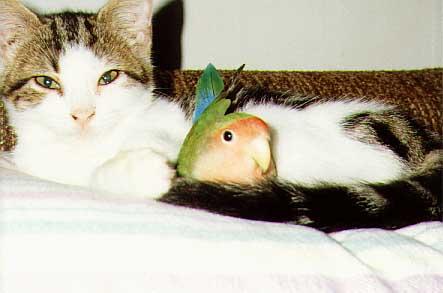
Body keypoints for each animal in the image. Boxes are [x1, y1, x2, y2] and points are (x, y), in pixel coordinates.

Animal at [0, 0, 440, 233]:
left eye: (108, 77)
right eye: (46, 82)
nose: (83, 114)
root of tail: (423, 142)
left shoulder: (175, 128)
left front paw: (141, 170)